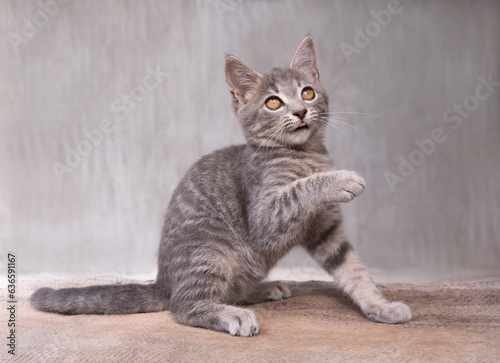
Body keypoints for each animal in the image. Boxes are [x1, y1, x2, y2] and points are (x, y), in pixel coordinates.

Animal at [33, 37, 412, 338]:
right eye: (273, 102)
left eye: (307, 92)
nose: (301, 111)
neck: (304, 155)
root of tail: (164, 282)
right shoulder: (266, 217)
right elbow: (301, 188)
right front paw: (343, 179)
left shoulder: (325, 228)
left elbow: (352, 269)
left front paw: (380, 306)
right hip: (209, 246)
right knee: (184, 307)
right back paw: (233, 314)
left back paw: (263, 288)